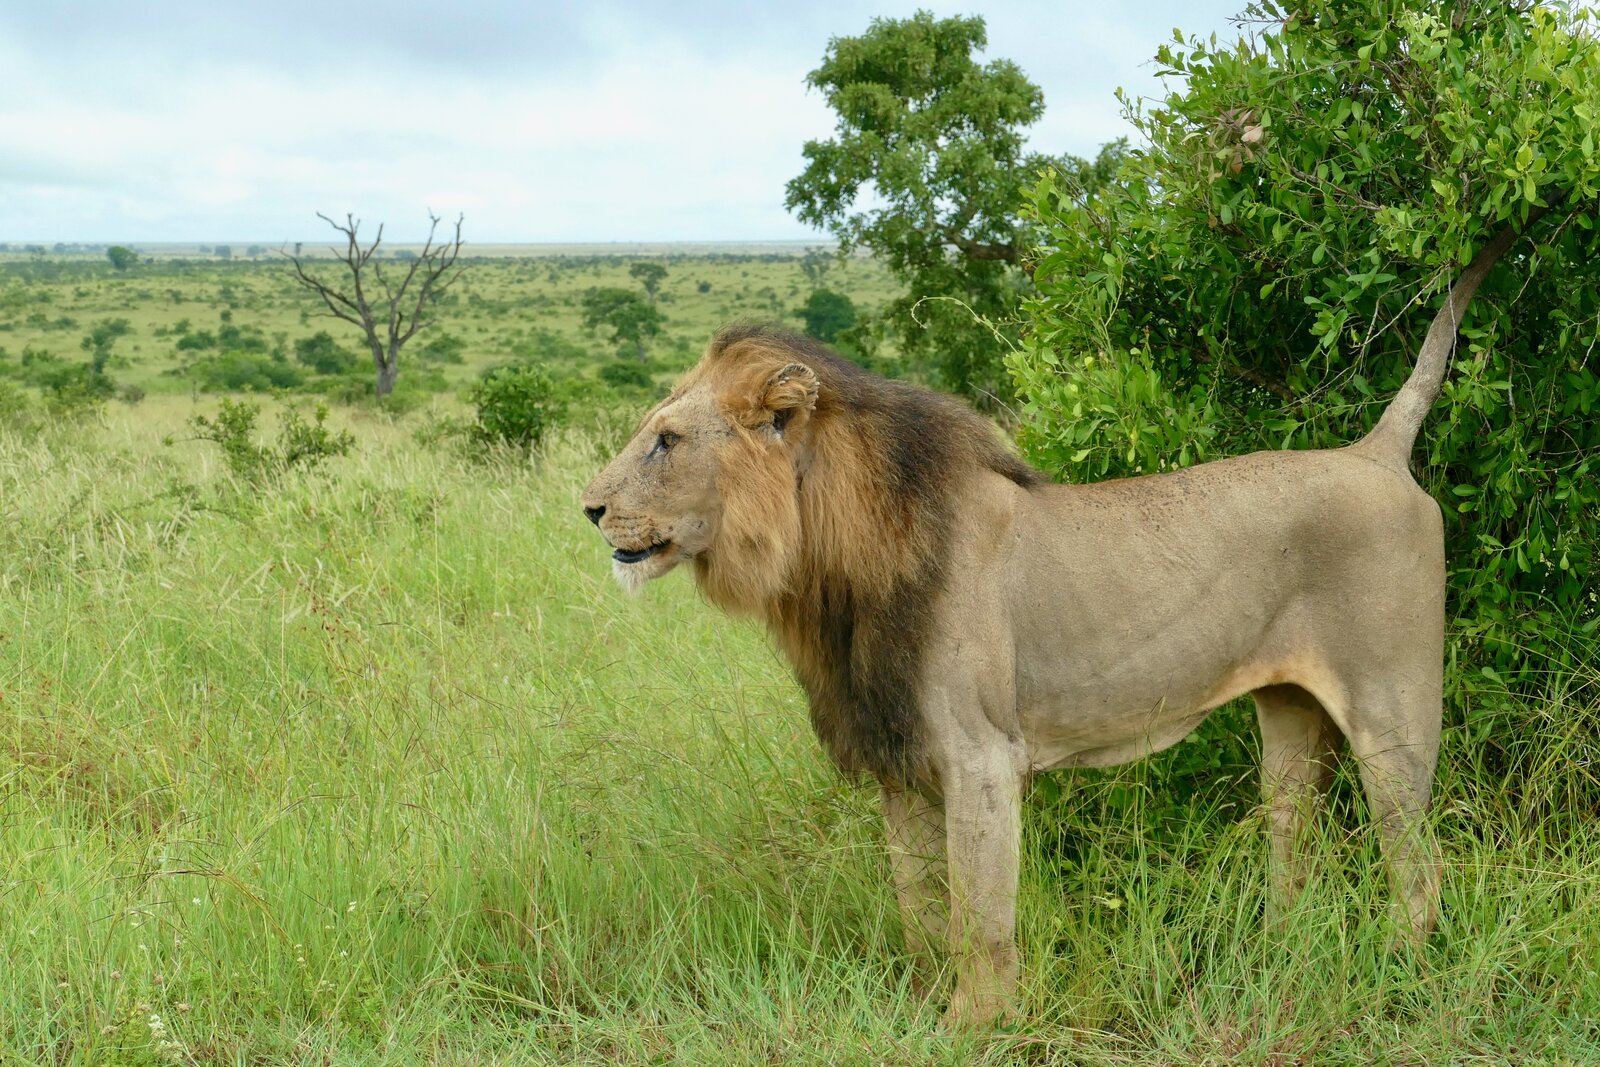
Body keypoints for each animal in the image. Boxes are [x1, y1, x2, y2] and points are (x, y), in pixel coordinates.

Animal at [580, 223, 1531, 1028]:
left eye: (665, 441)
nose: (589, 508)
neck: (826, 569)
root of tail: (1378, 453)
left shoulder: (980, 754)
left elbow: (978, 915)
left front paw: (975, 1024)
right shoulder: (900, 760)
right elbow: (919, 904)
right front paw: (921, 1005)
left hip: (1393, 715)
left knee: (1419, 863)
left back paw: (1403, 970)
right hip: (1291, 718)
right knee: (1295, 842)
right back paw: (1277, 951)